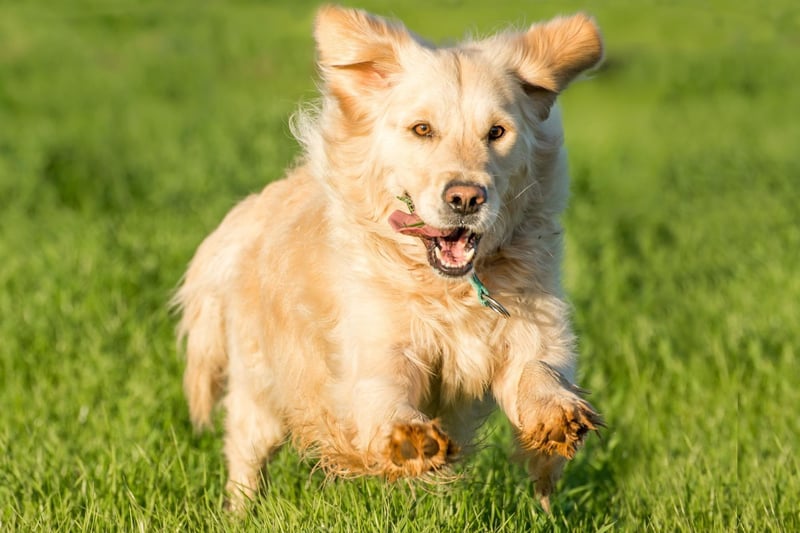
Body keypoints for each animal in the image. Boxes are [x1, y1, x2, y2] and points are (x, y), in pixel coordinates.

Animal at [172, 4, 604, 512]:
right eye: (423, 129)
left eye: (497, 132)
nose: (466, 198)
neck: (449, 289)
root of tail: (248, 213)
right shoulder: (376, 348)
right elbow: (387, 393)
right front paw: (412, 439)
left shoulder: (533, 328)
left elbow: (538, 369)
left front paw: (556, 415)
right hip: (259, 392)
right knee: (244, 456)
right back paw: (240, 511)